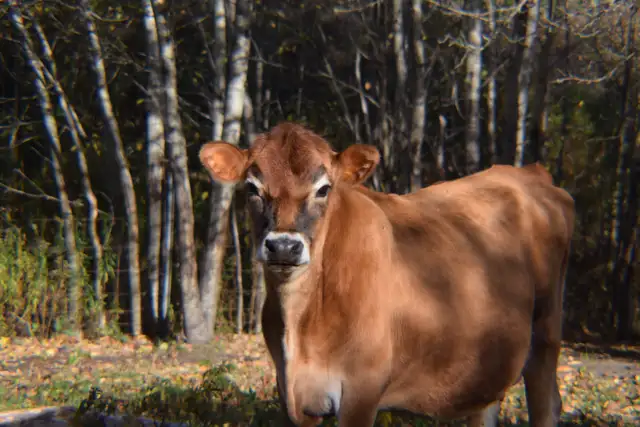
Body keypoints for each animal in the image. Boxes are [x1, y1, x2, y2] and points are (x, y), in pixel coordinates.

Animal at [199, 122, 575, 427]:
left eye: (324, 188)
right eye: (252, 188)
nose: (283, 247)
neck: (300, 324)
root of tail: (530, 173)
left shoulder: (362, 390)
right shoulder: (294, 397)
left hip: (546, 334)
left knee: (547, 404)